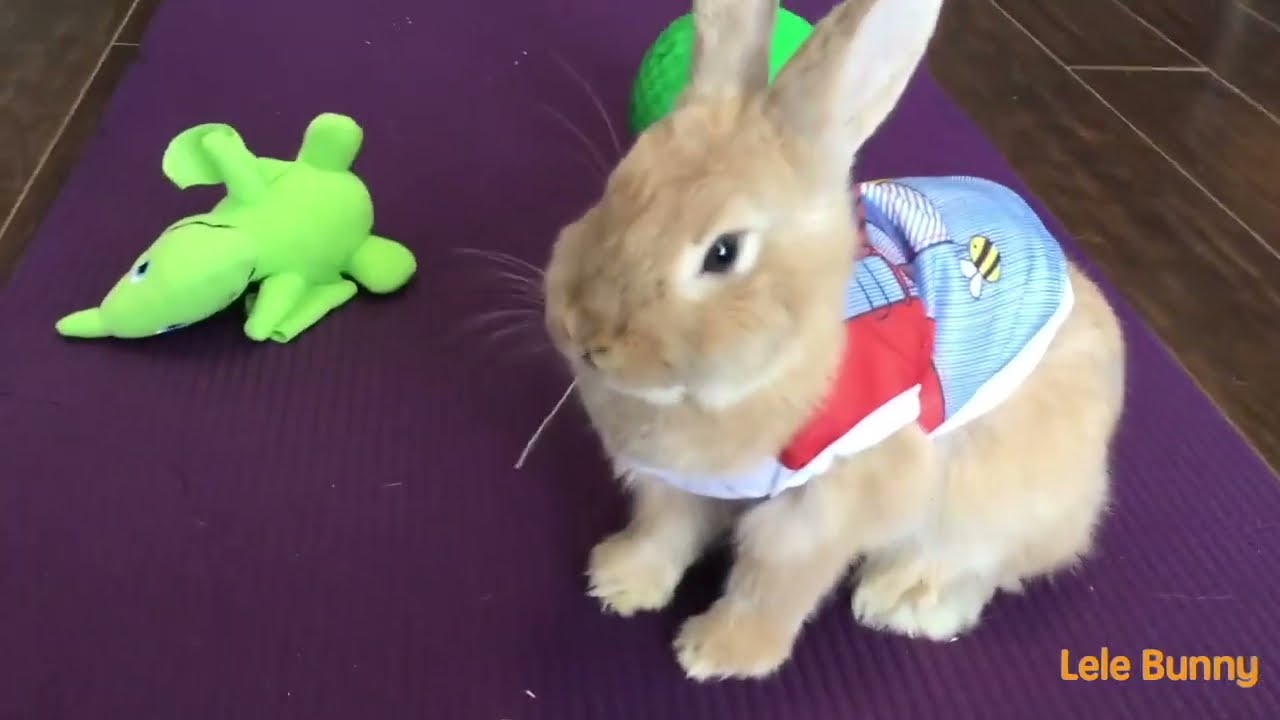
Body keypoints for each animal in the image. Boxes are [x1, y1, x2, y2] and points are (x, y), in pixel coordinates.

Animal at [542, 0, 1126, 681]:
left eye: (723, 253)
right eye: (616, 188)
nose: (585, 334)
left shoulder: (826, 508)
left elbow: (774, 583)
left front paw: (721, 653)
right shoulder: (677, 487)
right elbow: (665, 531)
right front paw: (620, 581)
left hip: (993, 490)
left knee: (977, 559)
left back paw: (904, 600)